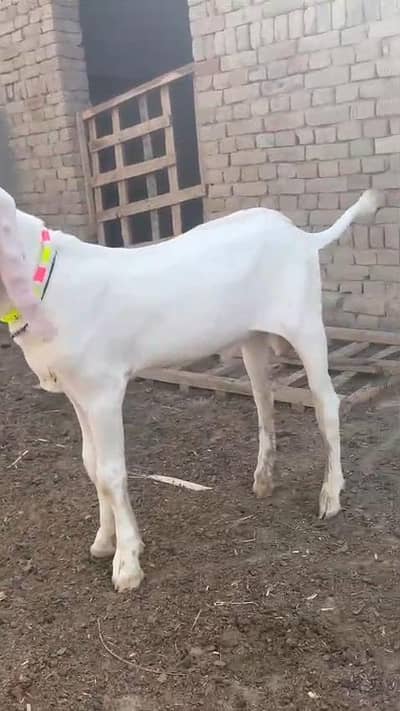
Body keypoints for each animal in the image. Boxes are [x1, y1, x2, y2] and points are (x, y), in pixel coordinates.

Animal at [0, 187, 380, 591]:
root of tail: (301, 237)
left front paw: (127, 564)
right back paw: (263, 479)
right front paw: (104, 541)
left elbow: (111, 472)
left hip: (305, 325)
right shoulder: (78, 392)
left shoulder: (104, 390)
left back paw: (330, 496)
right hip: (253, 338)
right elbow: (92, 465)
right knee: (264, 400)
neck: (49, 283)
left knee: (326, 404)